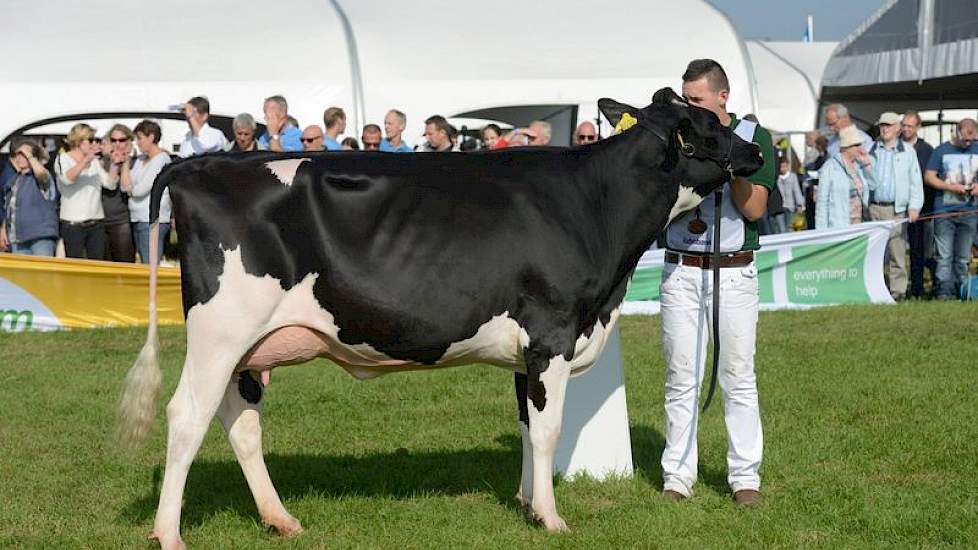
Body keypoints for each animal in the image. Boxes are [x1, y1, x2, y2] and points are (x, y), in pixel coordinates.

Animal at [118, 88, 760, 548]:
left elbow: (525, 425)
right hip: (220, 332)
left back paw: (281, 520)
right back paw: (169, 533)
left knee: (240, 422)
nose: (756, 151)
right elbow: (548, 429)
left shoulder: (525, 348)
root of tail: (201, 167)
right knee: (187, 417)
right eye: (709, 124)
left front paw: (527, 504)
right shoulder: (551, 332)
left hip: (250, 347)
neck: (594, 205)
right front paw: (552, 517)